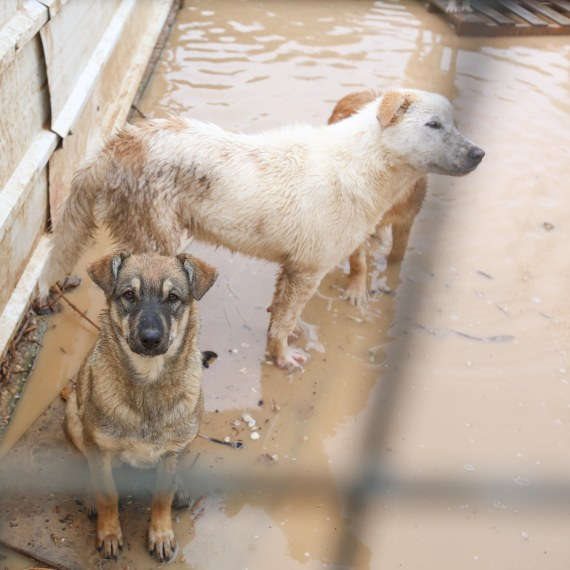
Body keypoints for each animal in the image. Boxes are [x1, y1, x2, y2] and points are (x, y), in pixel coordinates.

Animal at [40, 85, 484, 368]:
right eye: (433, 125)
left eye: (454, 123)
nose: (480, 153)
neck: (364, 163)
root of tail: (115, 146)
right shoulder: (309, 268)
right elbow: (284, 322)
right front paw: (282, 358)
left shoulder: (294, 268)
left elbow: (283, 312)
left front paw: (289, 334)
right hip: (156, 237)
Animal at [65, 250, 217, 560]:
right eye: (128, 295)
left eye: (173, 298)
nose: (150, 339)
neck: (148, 383)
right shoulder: (99, 446)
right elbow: (108, 493)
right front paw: (109, 533)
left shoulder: (170, 451)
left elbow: (162, 496)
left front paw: (161, 534)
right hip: (74, 418)